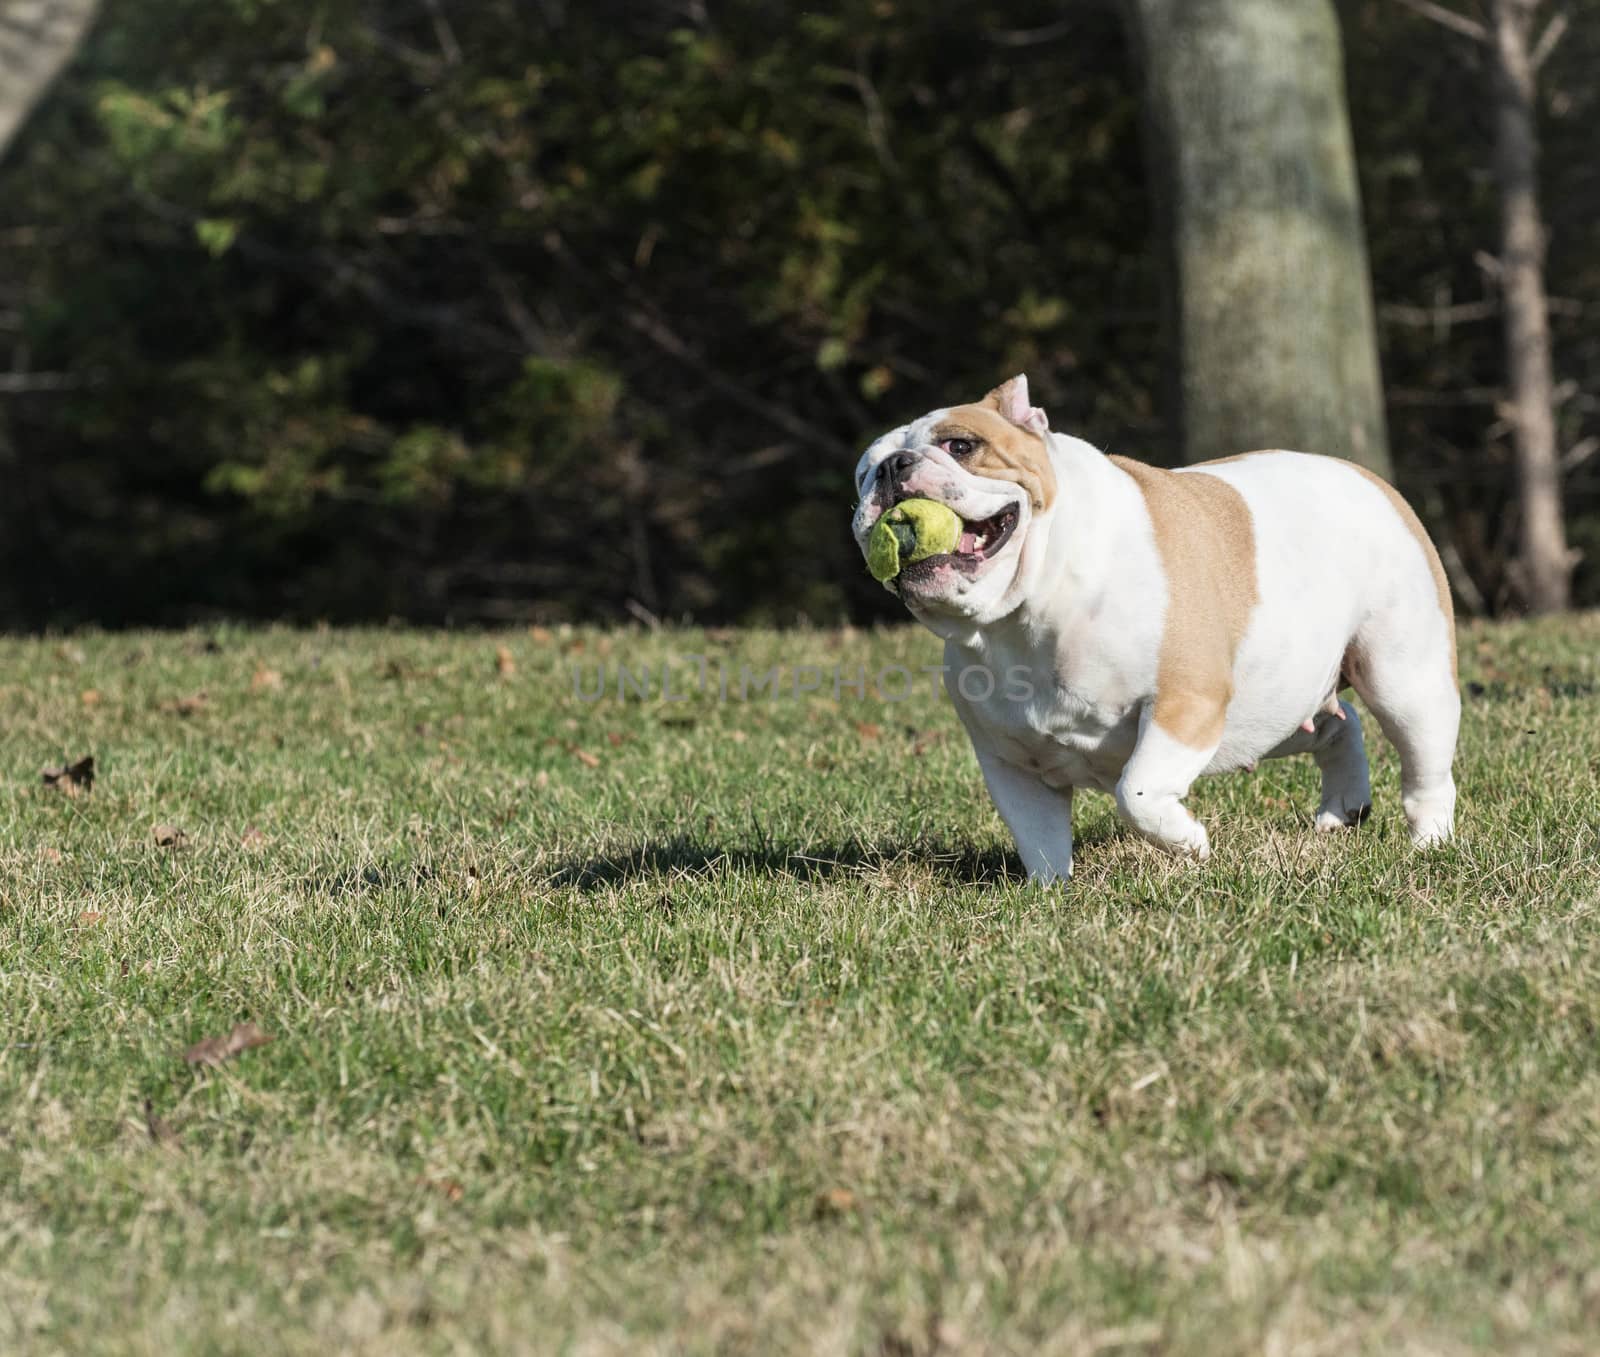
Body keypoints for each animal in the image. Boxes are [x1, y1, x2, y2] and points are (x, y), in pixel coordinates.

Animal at [857, 374, 1459, 876]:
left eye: (960, 446)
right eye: (863, 473)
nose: (891, 468)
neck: (1024, 611)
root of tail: (1367, 477)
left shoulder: (1185, 702)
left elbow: (1137, 792)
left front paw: (1188, 843)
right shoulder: (1010, 763)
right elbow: (1039, 837)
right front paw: (1051, 893)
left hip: (1404, 682)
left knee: (1424, 767)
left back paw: (1429, 842)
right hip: (1274, 708)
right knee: (1339, 723)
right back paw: (1343, 807)